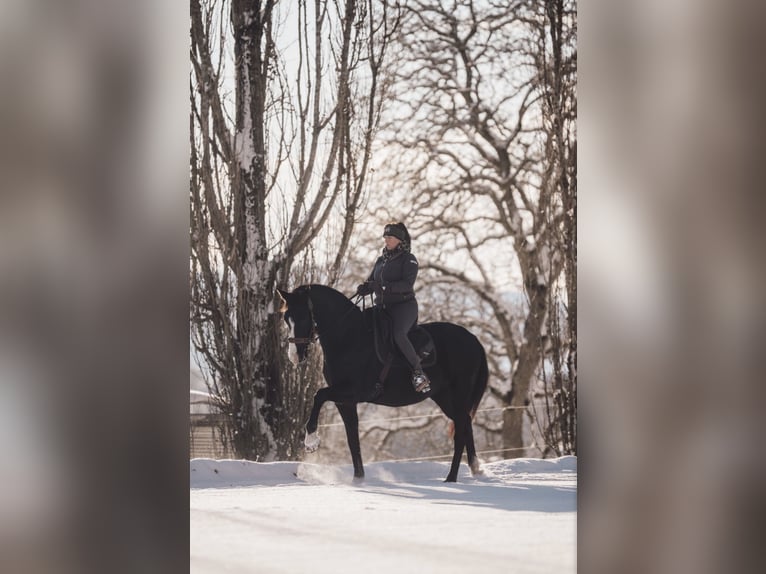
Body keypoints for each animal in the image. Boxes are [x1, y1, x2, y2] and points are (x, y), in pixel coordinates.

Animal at [277, 284, 489, 482]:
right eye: (287, 318)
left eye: (303, 316)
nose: (294, 356)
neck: (349, 337)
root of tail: (474, 340)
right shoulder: (344, 401)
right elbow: (352, 438)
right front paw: (358, 479)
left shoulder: (352, 392)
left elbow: (318, 395)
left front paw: (311, 441)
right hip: (444, 397)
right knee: (465, 423)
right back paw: (475, 468)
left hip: (459, 394)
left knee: (460, 431)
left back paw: (451, 478)